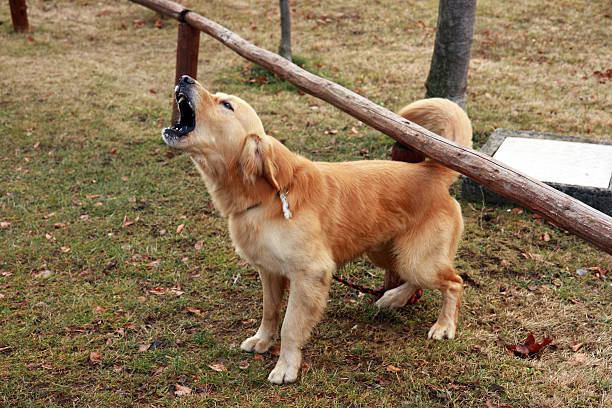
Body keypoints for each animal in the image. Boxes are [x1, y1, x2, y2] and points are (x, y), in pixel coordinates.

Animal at [160, 75, 470, 384]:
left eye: (226, 105)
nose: (185, 79)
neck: (265, 198)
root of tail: (431, 171)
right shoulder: (269, 271)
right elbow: (270, 311)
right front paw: (262, 340)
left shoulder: (309, 275)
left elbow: (290, 326)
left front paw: (286, 367)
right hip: (386, 253)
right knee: (420, 280)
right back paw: (395, 297)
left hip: (416, 260)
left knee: (455, 282)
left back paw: (444, 325)